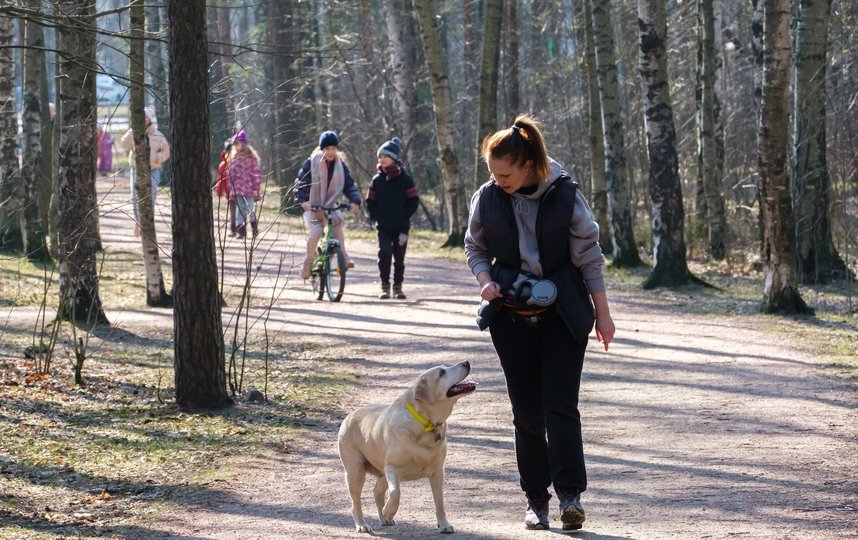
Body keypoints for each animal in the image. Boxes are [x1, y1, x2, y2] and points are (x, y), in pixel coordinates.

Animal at [336, 360, 474, 532]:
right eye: (442, 372)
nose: (466, 362)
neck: (426, 424)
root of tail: (349, 416)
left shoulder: (437, 472)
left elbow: (440, 502)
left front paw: (444, 525)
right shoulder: (392, 468)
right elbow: (396, 493)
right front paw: (389, 511)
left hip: (379, 472)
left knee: (377, 492)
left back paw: (384, 518)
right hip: (356, 471)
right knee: (356, 502)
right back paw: (362, 524)